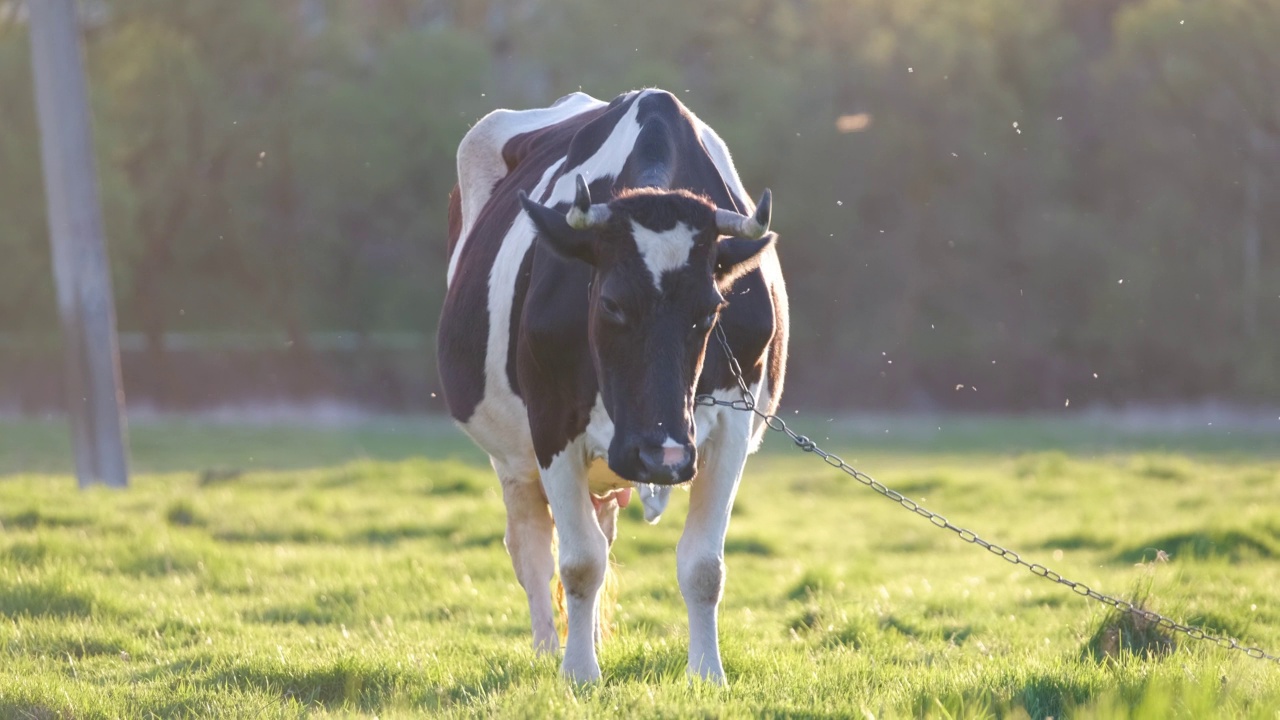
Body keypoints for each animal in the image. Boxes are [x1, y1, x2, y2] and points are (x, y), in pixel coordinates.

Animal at [435, 88, 783, 676]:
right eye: (612, 304)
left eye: (711, 310)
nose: (661, 455)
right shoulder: (552, 424)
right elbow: (578, 563)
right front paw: (578, 673)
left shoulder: (731, 425)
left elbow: (703, 566)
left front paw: (707, 675)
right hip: (512, 458)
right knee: (531, 550)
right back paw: (547, 650)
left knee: (601, 529)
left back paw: (593, 636)